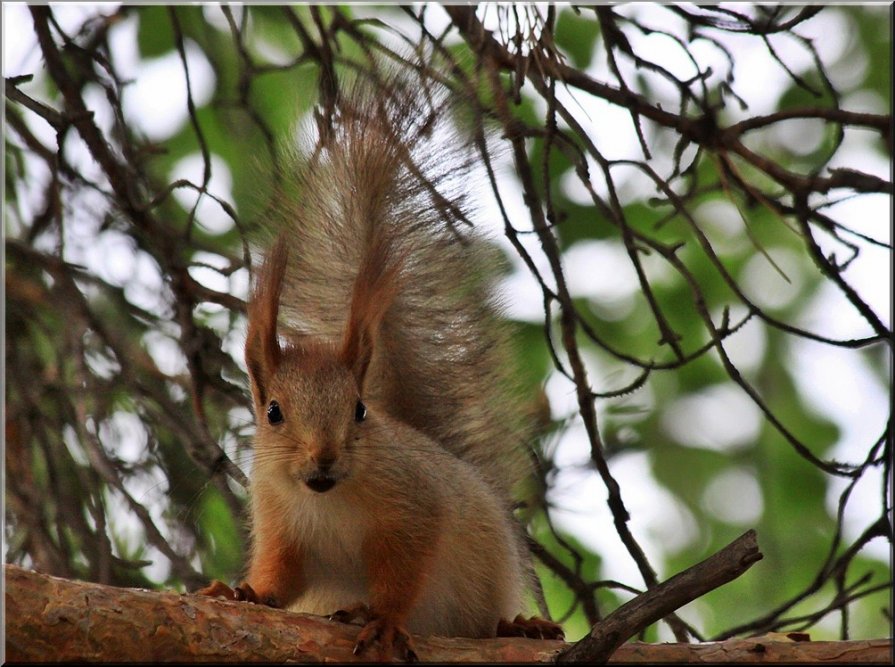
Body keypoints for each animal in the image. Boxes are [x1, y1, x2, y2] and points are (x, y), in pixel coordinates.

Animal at [201, 70, 568, 660]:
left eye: (359, 410)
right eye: (273, 412)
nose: (324, 459)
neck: (328, 500)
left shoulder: (414, 511)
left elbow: (402, 577)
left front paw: (387, 621)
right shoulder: (280, 525)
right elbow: (280, 579)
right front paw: (244, 594)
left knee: (483, 624)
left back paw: (518, 627)